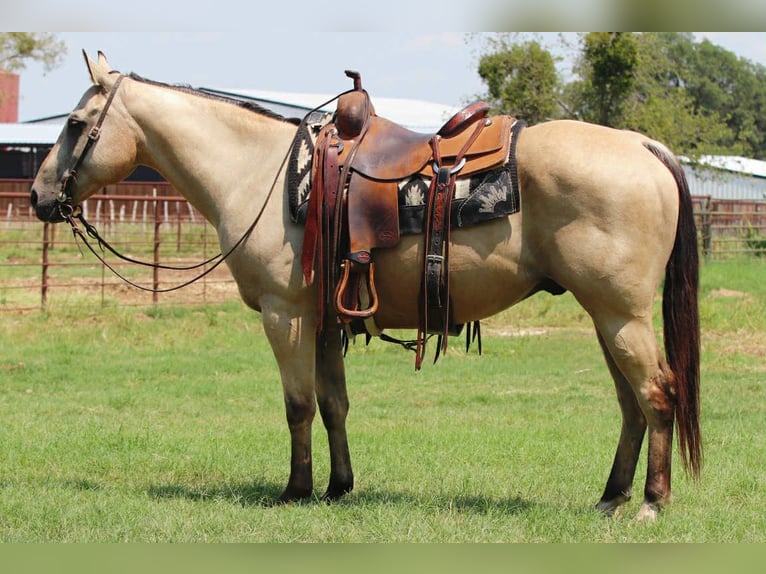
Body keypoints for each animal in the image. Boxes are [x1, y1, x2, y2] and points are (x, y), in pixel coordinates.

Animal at [30, 52, 700, 521]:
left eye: (75, 124)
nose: (38, 196)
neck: (259, 173)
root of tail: (644, 145)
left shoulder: (285, 314)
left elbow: (298, 405)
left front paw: (295, 491)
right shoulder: (325, 320)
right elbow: (334, 405)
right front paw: (337, 487)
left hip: (621, 315)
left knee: (657, 395)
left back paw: (651, 502)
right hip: (605, 317)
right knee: (631, 404)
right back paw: (611, 498)